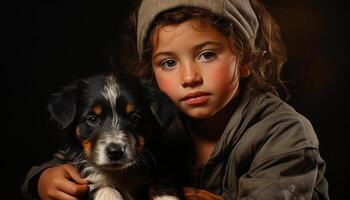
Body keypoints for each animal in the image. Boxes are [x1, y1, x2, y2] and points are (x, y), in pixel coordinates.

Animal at [48, 72, 178, 200]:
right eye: (92, 119)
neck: (119, 173)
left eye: (134, 118)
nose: (115, 152)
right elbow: (106, 189)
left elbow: (162, 185)